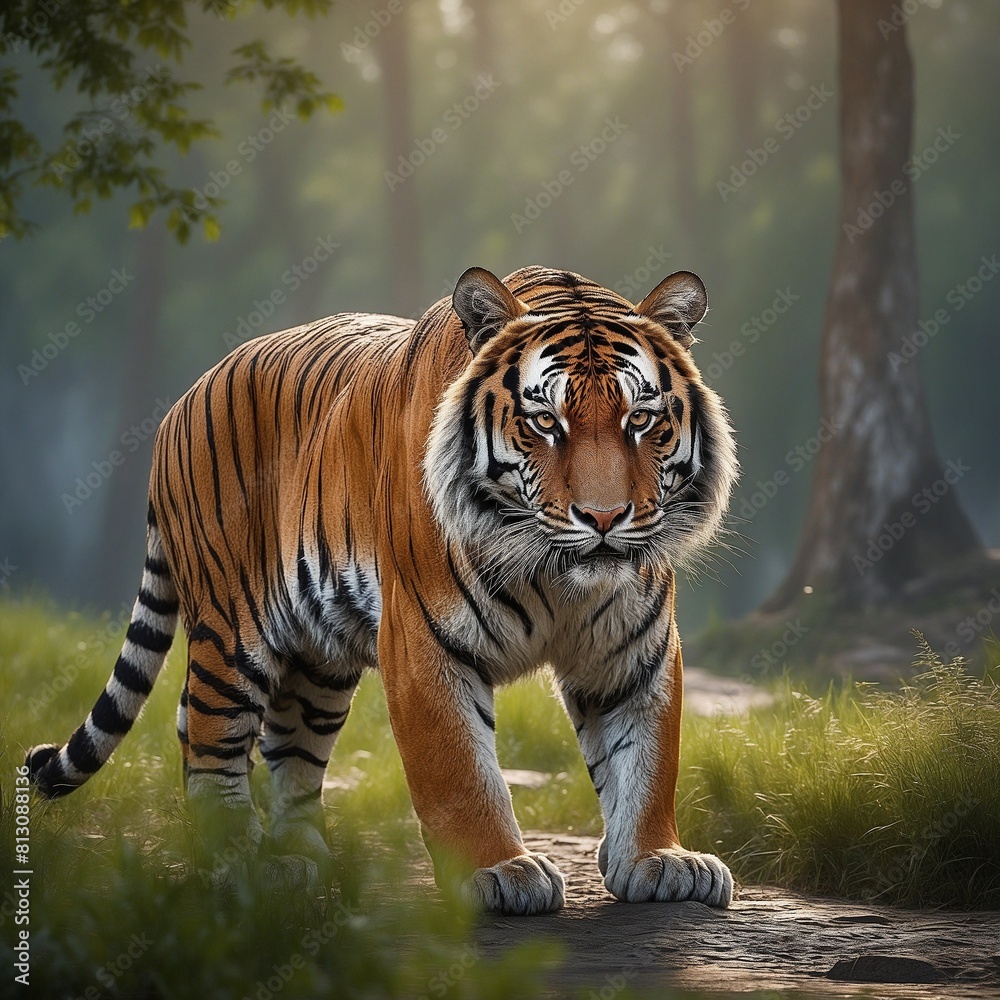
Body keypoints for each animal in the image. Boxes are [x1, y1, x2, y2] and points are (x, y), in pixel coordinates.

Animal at [26, 263, 738, 915]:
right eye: (544, 421)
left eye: (641, 419)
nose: (604, 517)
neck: (558, 578)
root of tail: (181, 401)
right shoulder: (427, 642)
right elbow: (459, 769)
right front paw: (498, 871)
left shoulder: (636, 649)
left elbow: (647, 758)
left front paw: (658, 860)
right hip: (231, 633)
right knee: (207, 735)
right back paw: (240, 861)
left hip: (319, 661)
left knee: (286, 748)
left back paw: (301, 856)